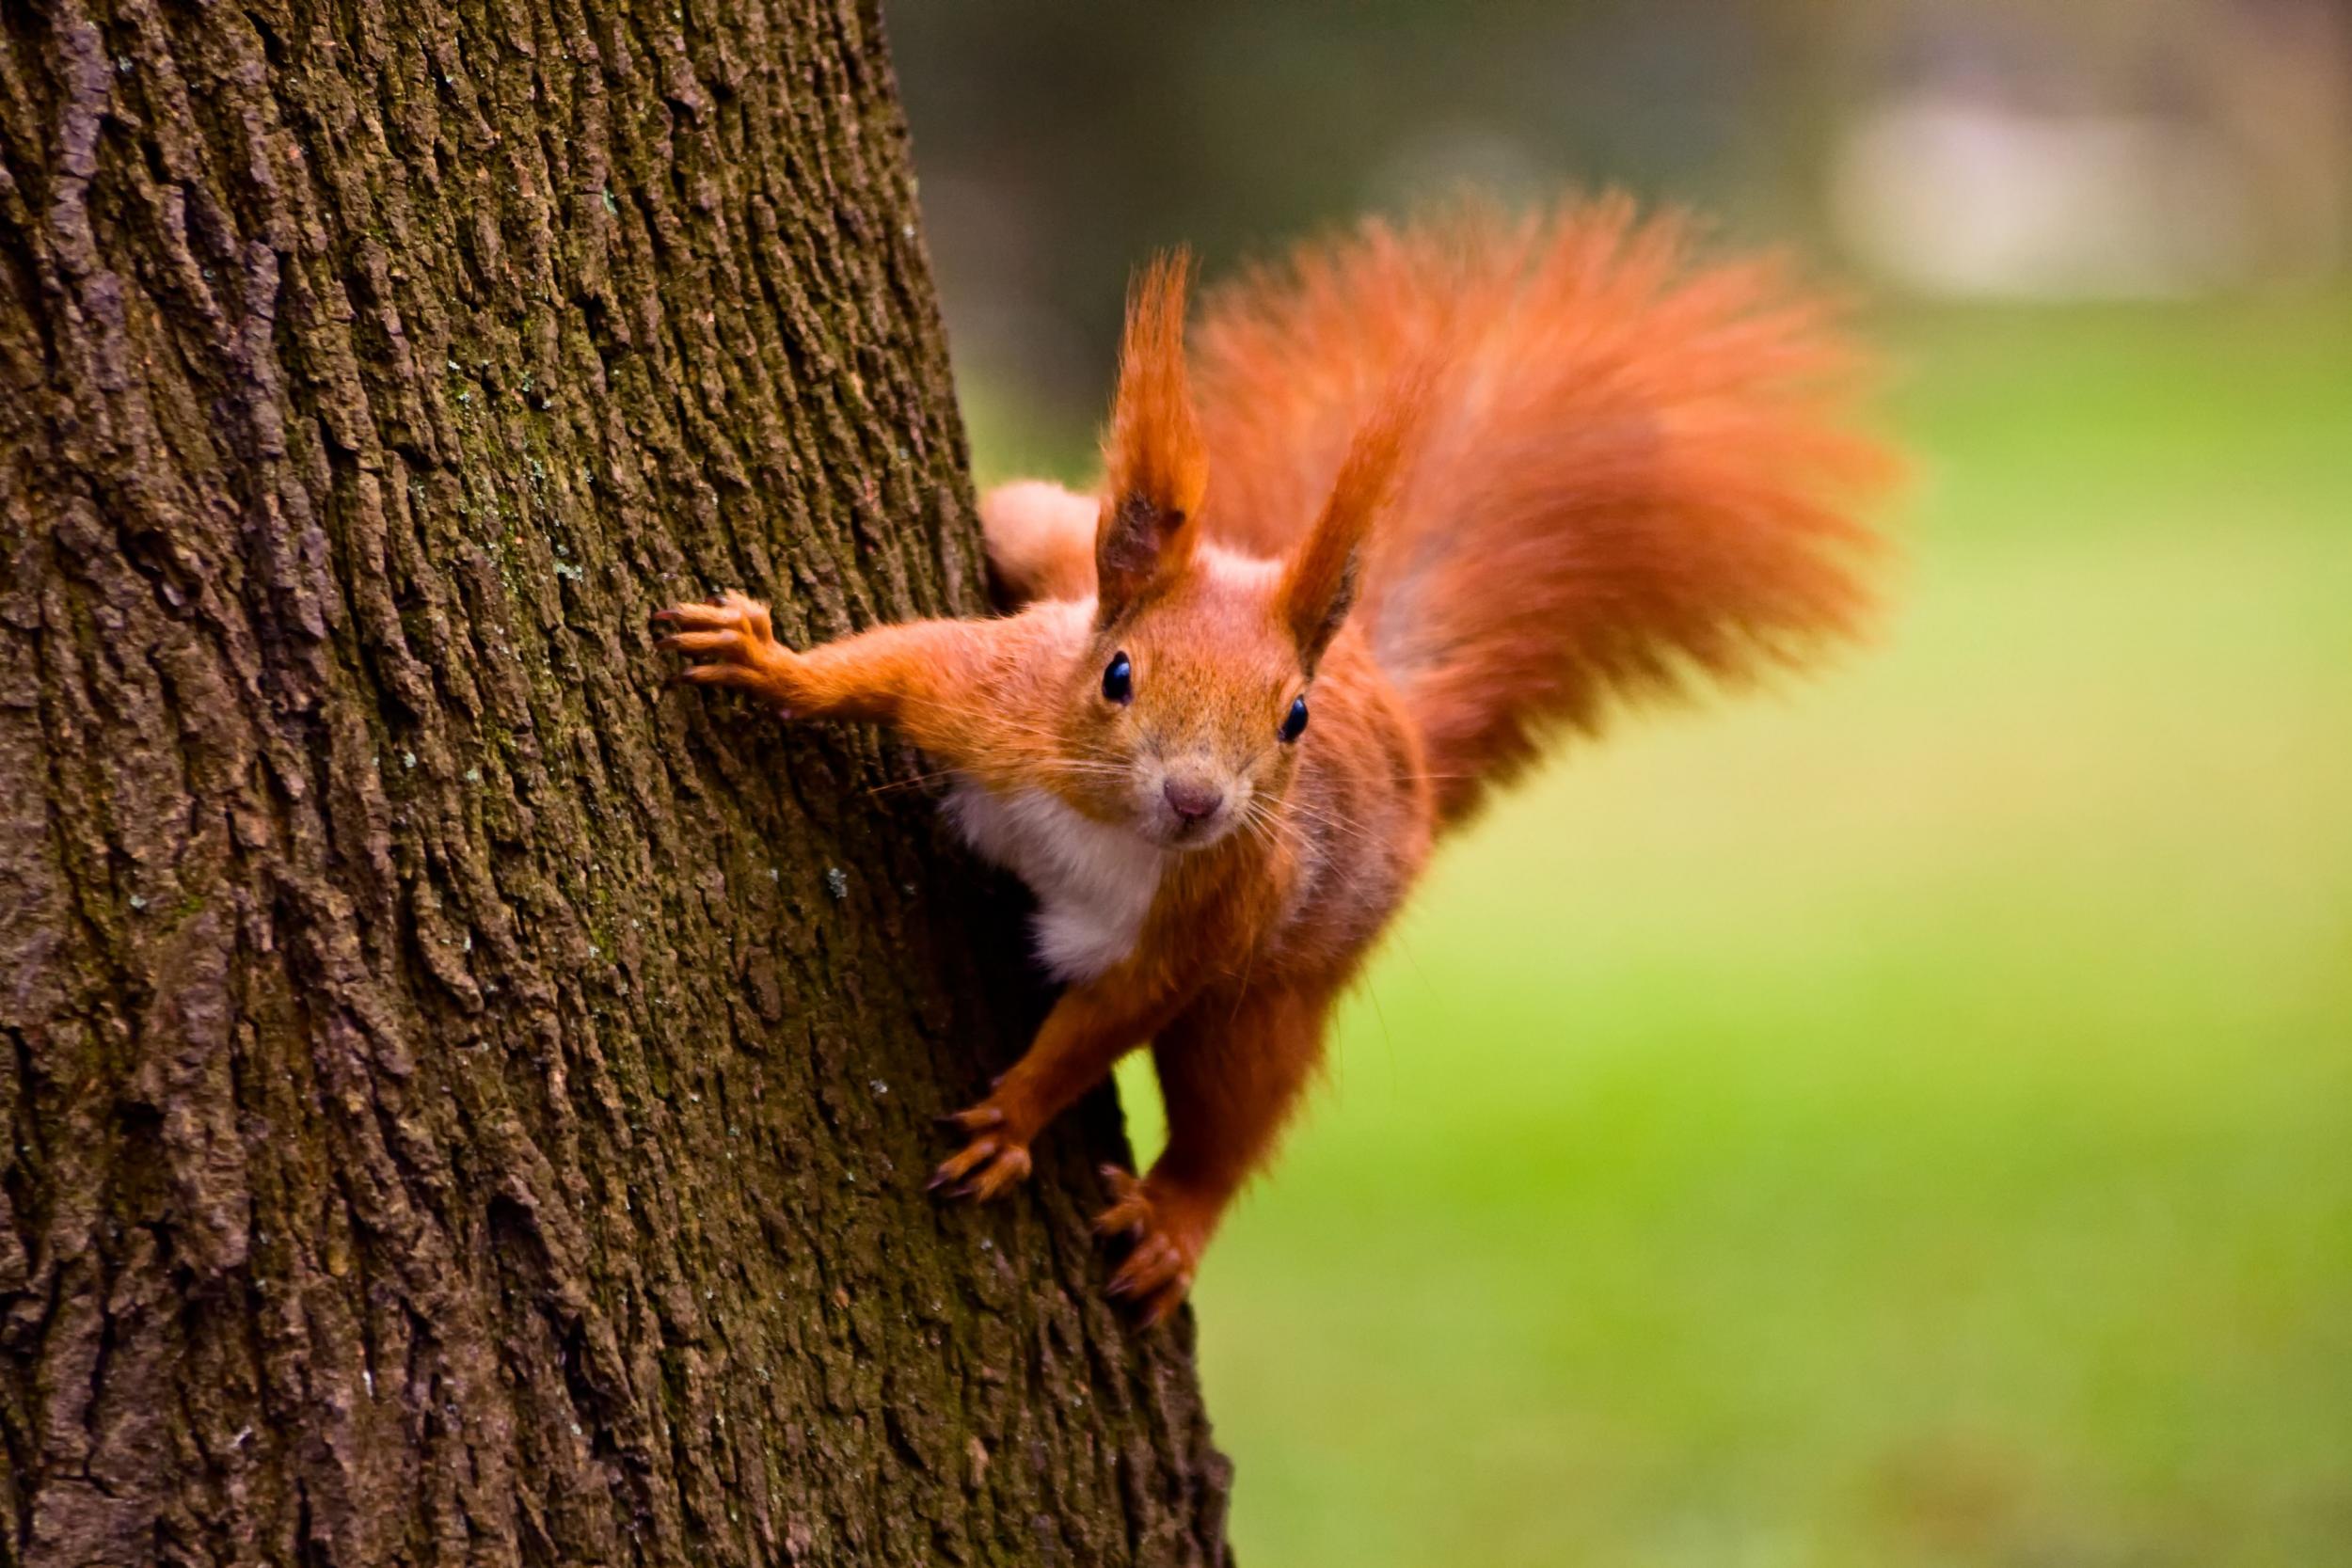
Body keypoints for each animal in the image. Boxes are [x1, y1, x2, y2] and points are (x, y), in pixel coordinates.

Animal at [659, 196, 1891, 1325]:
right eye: (1116, 675)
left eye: (1292, 717)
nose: (1196, 799)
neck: (1105, 824)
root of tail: (1395, 713)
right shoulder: (996, 702)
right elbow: (894, 664)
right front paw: (770, 662)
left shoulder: (1209, 920)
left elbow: (1102, 1023)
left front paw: (1013, 1119)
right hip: (1050, 544)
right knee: (1029, 522)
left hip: (1278, 991)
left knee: (1233, 1109)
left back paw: (1173, 1220)